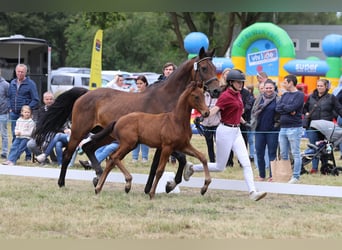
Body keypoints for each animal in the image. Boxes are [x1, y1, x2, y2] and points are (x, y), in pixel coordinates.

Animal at [34, 47, 219, 191]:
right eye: (203, 67)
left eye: (215, 67)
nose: (217, 90)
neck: (167, 98)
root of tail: (85, 93)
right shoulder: (164, 142)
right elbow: (174, 160)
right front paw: (167, 185)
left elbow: (165, 163)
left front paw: (159, 186)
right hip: (79, 131)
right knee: (68, 153)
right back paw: (62, 183)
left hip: (105, 134)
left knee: (89, 147)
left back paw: (98, 176)